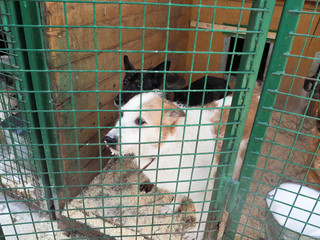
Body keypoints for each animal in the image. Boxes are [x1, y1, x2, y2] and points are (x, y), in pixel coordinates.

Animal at [105, 89, 260, 239]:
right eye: (122, 114)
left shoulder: (203, 195)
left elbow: (202, 218)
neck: (167, 145)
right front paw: (172, 208)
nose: (108, 139)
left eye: (140, 121)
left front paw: (197, 234)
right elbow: (178, 194)